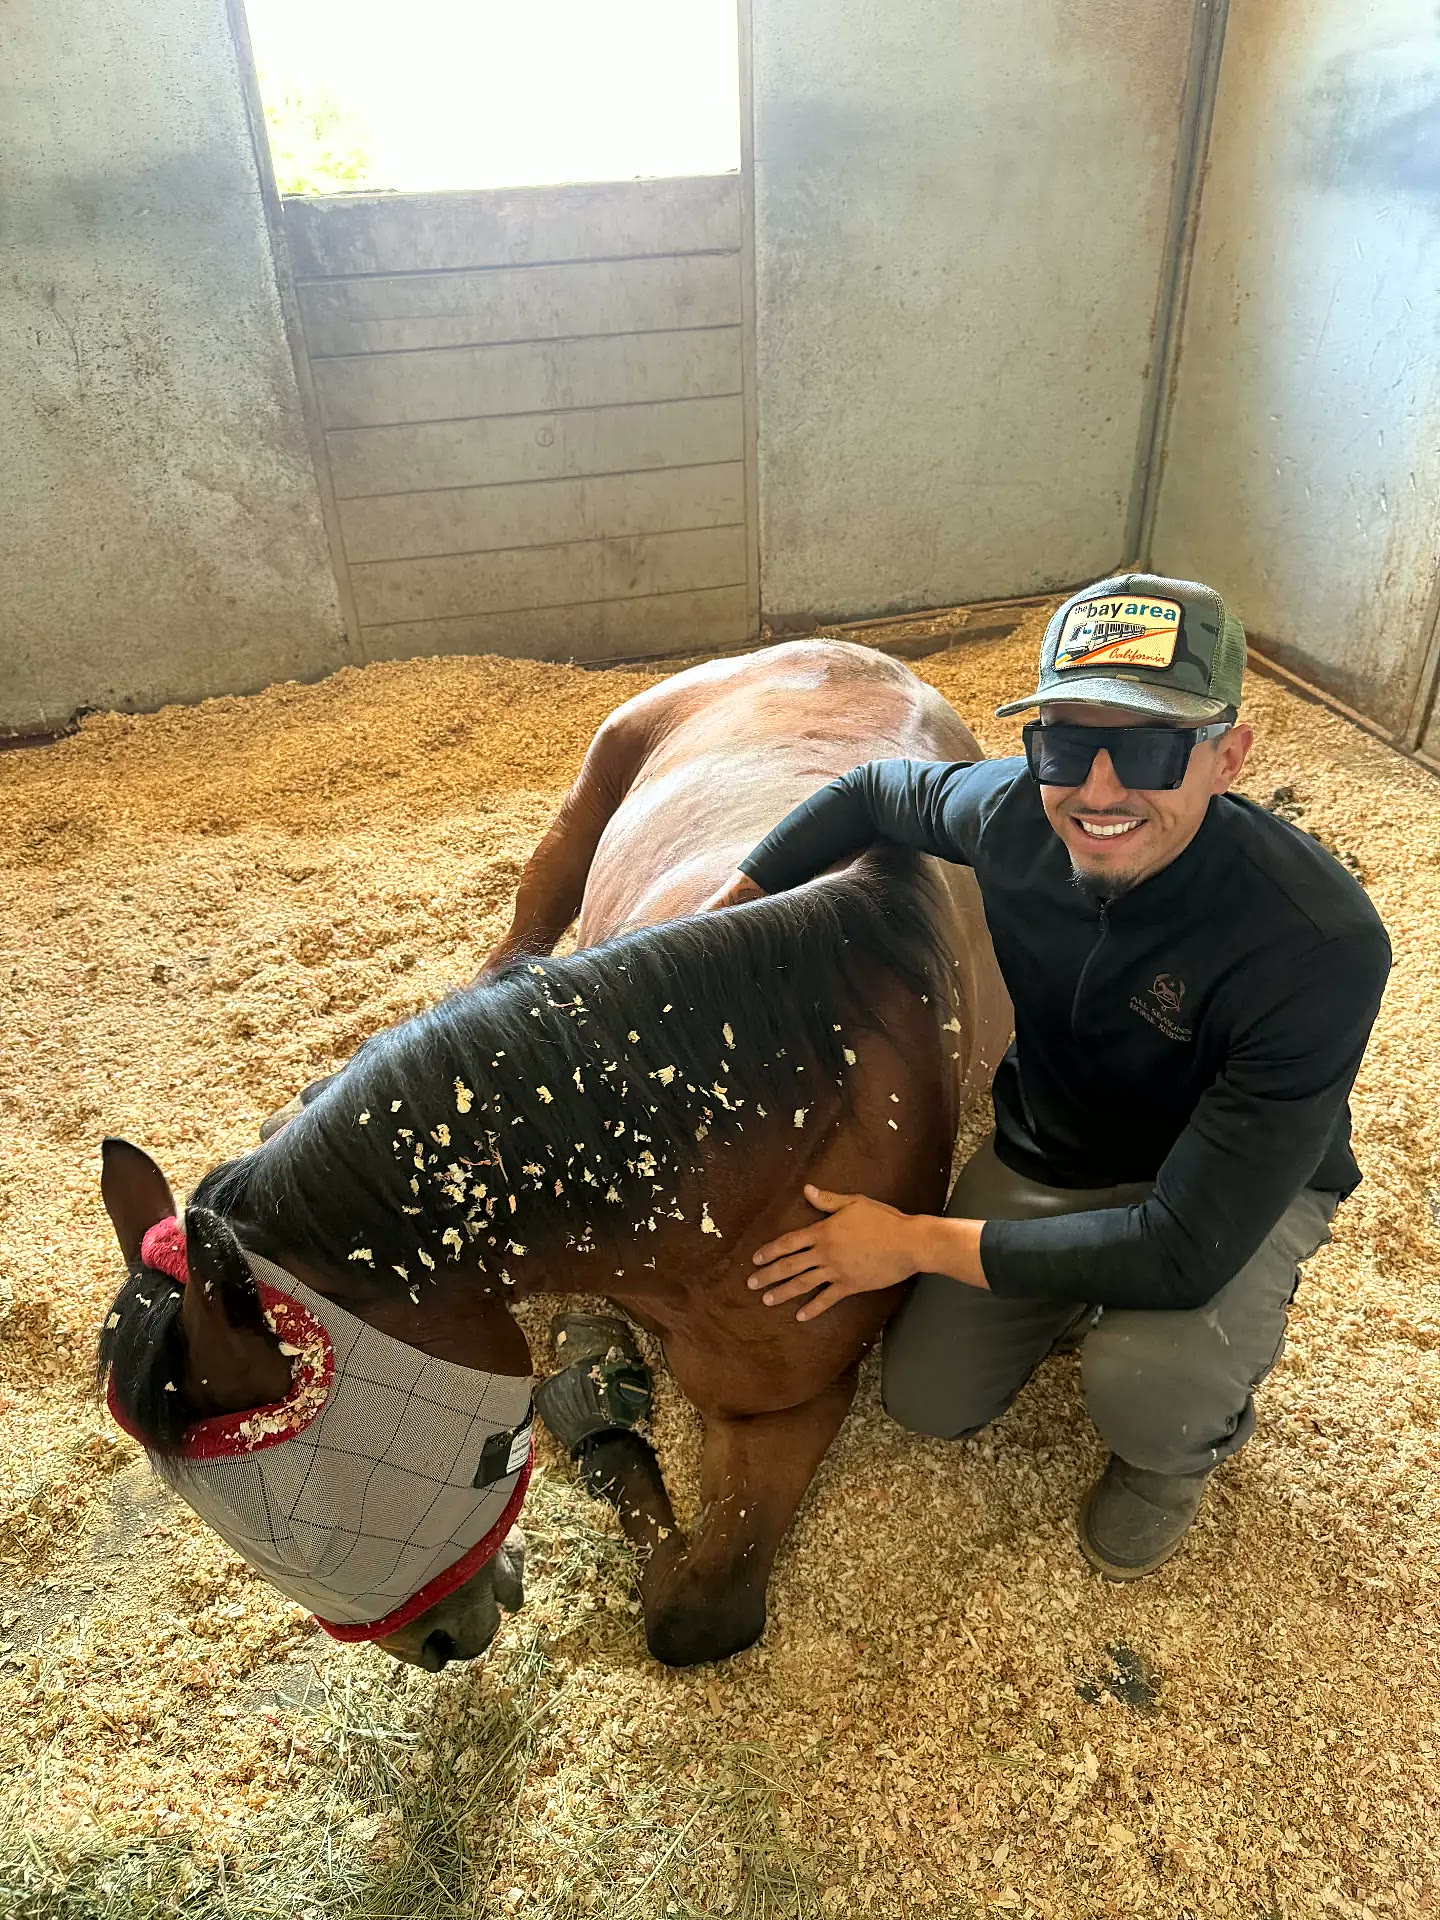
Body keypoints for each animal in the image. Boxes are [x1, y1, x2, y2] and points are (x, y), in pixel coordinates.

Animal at [97, 640, 1009, 1671]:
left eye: (307, 1520)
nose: (436, 1640)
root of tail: (847, 651)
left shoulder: (783, 1409)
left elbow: (697, 1615)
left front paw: (592, 1411)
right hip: (579, 816)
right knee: (509, 951)